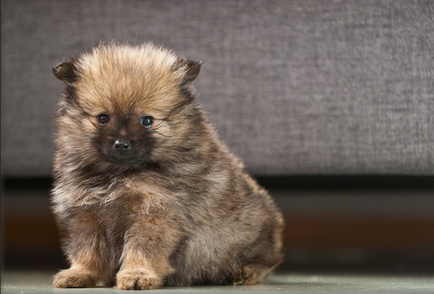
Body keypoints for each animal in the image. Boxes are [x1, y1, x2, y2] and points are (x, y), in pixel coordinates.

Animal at [50, 42, 284, 290]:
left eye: (147, 121)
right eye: (103, 118)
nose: (121, 144)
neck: (120, 174)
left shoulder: (154, 214)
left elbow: (142, 248)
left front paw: (137, 274)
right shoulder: (86, 213)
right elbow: (88, 250)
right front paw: (81, 273)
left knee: (262, 262)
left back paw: (246, 272)